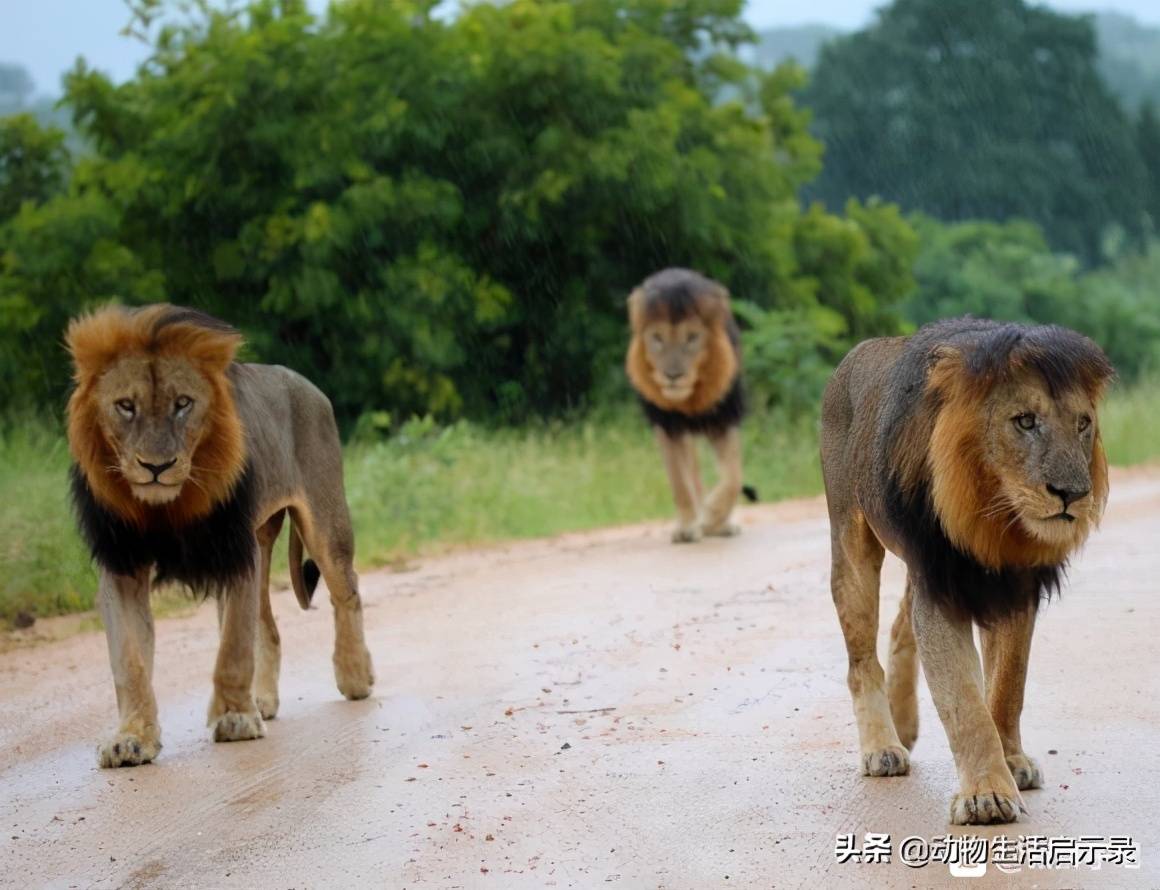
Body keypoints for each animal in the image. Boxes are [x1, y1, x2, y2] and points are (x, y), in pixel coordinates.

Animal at [64, 304, 375, 765]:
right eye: (125, 406)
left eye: (183, 404)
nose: (156, 466)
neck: (167, 507)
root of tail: (307, 384)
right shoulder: (122, 563)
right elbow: (130, 661)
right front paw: (131, 739)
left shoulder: (234, 551)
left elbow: (232, 648)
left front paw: (234, 719)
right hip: (261, 541)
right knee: (268, 626)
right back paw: (262, 700)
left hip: (324, 524)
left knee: (346, 592)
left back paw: (355, 675)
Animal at [626, 264, 751, 543]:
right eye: (657, 337)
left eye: (692, 337)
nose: (673, 375)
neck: (690, 400)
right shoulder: (668, 426)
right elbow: (679, 483)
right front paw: (687, 527)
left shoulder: (724, 419)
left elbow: (734, 477)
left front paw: (713, 514)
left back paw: (719, 524)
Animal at [821, 315, 1108, 826]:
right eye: (1025, 421)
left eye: (1082, 424)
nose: (1073, 494)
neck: (995, 517)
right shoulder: (941, 587)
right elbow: (964, 701)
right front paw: (986, 795)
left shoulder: (1014, 587)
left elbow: (1007, 685)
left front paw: (1012, 761)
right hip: (852, 543)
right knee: (861, 660)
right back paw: (883, 748)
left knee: (901, 626)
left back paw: (904, 722)